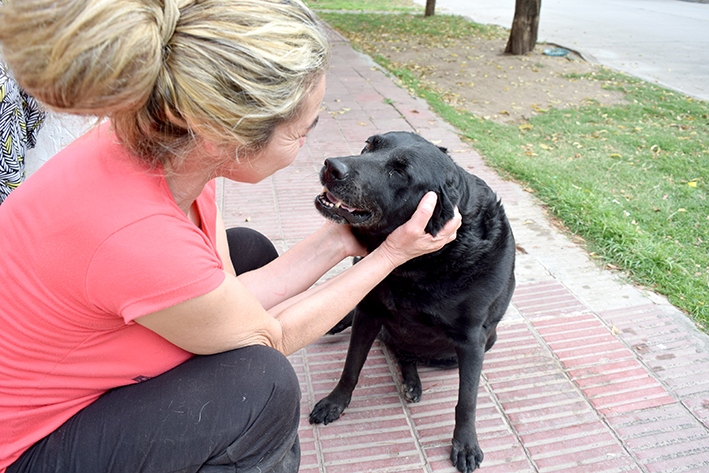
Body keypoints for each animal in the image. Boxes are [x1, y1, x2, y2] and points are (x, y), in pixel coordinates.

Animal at [310, 132, 516, 472]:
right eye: (369, 145)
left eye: (399, 173)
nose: (331, 166)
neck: (416, 266)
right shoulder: (369, 311)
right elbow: (351, 366)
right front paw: (335, 402)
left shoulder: (472, 341)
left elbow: (467, 400)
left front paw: (465, 444)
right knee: (400, 350)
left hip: (480, 344)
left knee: (408, 353)